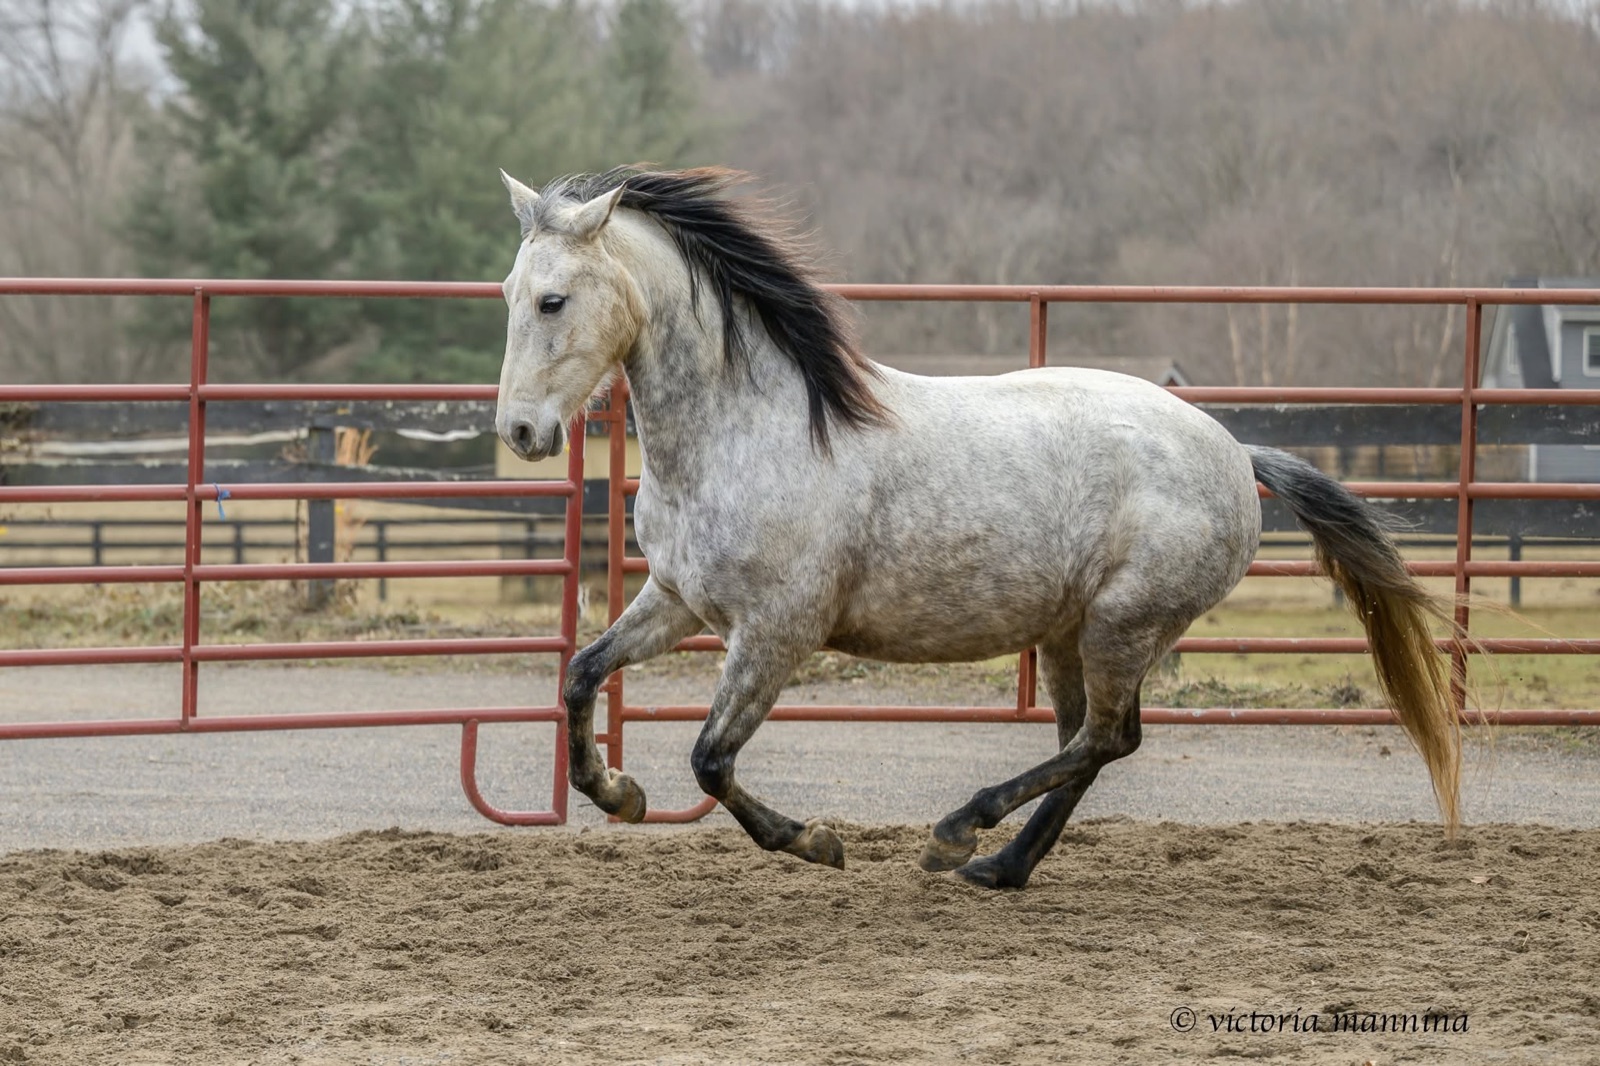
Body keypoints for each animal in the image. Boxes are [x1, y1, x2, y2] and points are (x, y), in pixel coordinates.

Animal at [493, 165, 1463, 890]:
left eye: (553, 300)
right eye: (508, 291)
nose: (522, 433)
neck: (751, 428)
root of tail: (1233, 450)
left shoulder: (776, 634)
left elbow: (710, 760)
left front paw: (816, 841)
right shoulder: (679, 600)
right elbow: (580, 675)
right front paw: (617, 793)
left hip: (1123, 624)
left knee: (1104, 738)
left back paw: (960, 831)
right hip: (1075, 633)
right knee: (1092, 742)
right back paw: (999, 866)